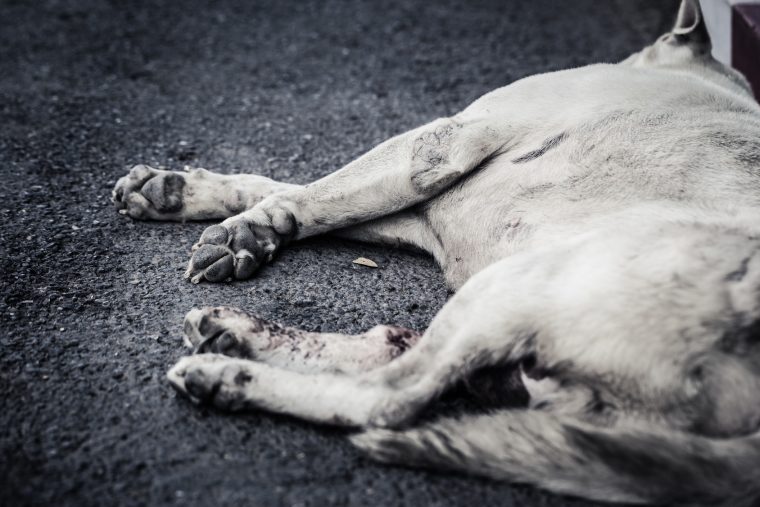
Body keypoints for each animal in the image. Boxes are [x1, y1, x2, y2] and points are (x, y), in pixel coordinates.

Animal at [110, 0, 760, 504]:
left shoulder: (438, 146)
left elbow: (308, 194)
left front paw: (241, 229)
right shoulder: (428, 210)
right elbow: (288, 189)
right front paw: (180, 193)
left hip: (526, 282)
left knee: (388, 397)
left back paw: (228, 374)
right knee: (397, 352)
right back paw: (237, 335)